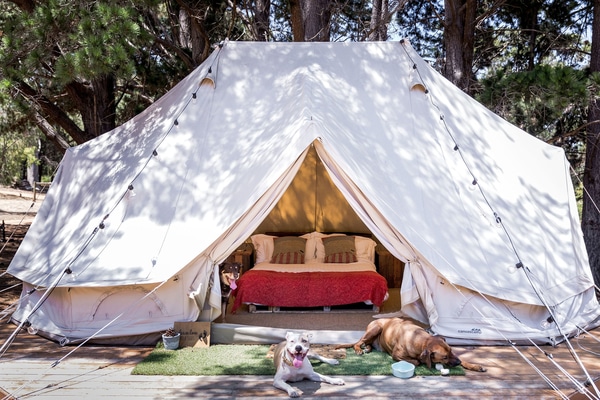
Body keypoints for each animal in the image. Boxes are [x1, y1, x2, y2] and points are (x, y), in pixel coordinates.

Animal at [336, 318, 486, 372]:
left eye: (451, 350)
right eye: (444, 357)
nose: (458, 362)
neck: (421, 339)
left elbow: (464, 359)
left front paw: (475, 365)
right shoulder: (396, 355)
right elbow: (417, 361)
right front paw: (421, 361)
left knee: (367, 344)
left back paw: (367, 348)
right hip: (375, 328)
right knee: (357, 343)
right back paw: (359, 349)